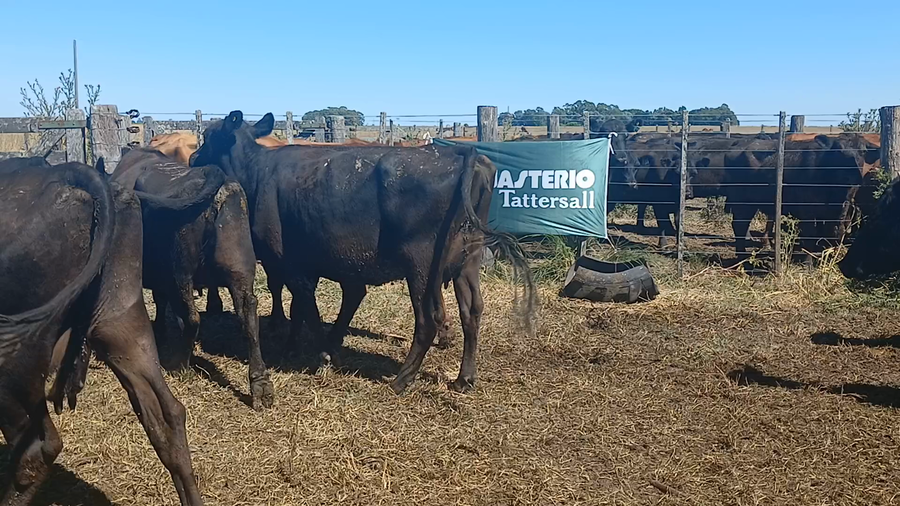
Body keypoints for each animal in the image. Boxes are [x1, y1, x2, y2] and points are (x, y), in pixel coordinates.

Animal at [111, 148, 274, 410]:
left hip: (181, 271)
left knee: (192, 317)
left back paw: (179, 364)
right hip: (240, 268)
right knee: (248, 313)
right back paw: (260, 384)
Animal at [190, 110, 536, 394]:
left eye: (208, 138)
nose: (192, 158)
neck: (255, 170)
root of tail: (462, 152)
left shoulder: (288, 261)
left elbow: (307, 308)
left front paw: (321, 354)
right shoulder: (310, 263)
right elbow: (304, 307)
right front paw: (299, 347)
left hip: (422, 266)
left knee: (428, 319)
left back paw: (401, 380)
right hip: (466, 261)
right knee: (472, 311)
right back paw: (464, 378)